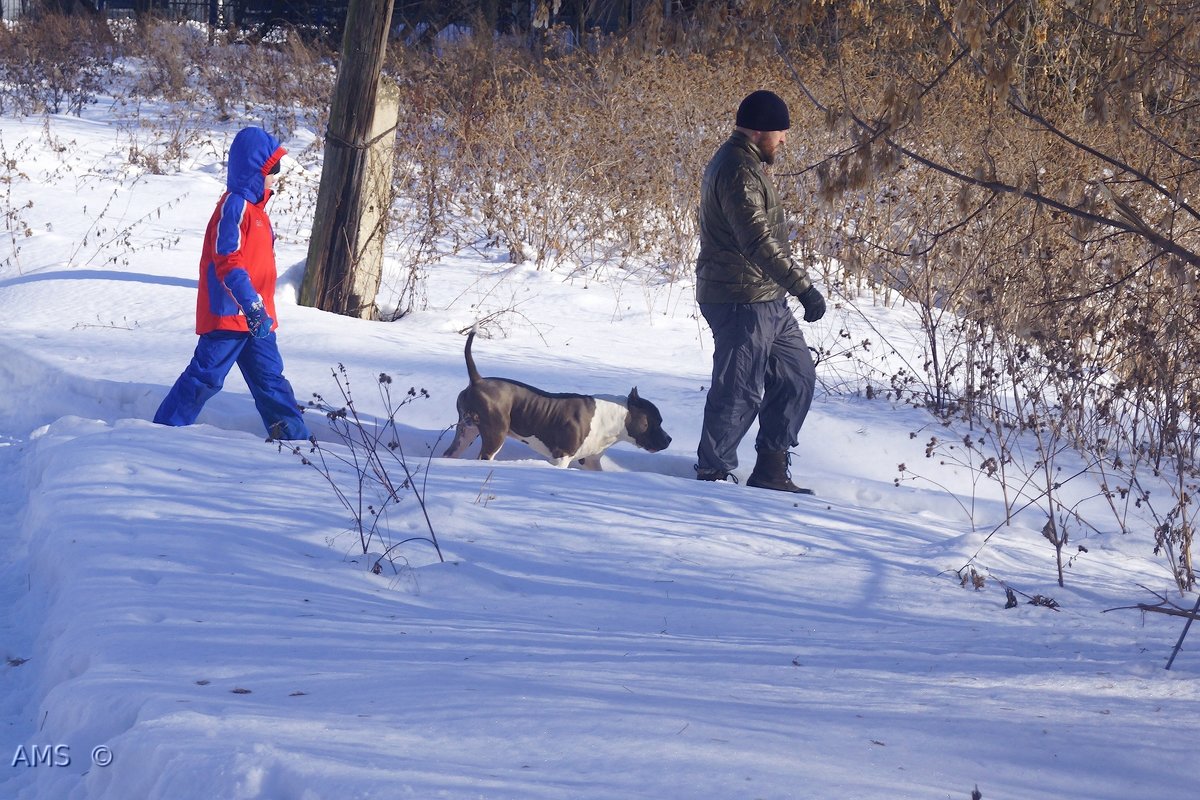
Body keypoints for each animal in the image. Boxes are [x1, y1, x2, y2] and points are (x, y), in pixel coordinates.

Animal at [441, 331, 672, 470]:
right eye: (656, 421)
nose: (669, 439)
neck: (615, 419)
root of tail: (477, 380)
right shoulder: (561, 458)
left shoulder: (591, 461)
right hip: (495, 434)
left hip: (466, 431)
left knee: (450, 453)